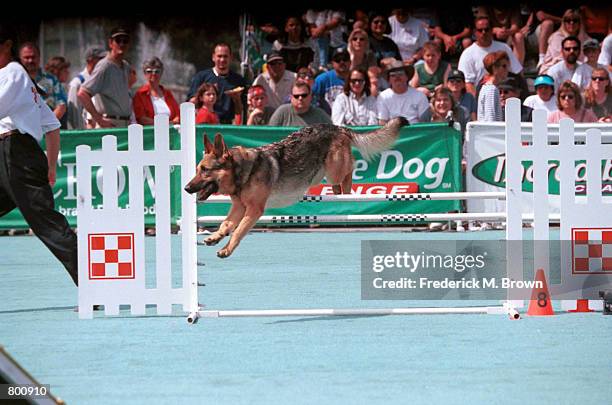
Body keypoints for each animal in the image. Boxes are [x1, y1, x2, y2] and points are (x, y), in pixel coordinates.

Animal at [184, 117, 408, 258]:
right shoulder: (239, 207)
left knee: (348, 173)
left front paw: (227, 250)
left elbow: (238, 231)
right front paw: (215, 237)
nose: (186, 188)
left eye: (204, 170)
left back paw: (348, 192)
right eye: (197, 170)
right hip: (321, 175)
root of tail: (336, 126)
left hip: (334, 169)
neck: (244, 171)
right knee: (339, 184)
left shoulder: (254, 210)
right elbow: (226, 225)